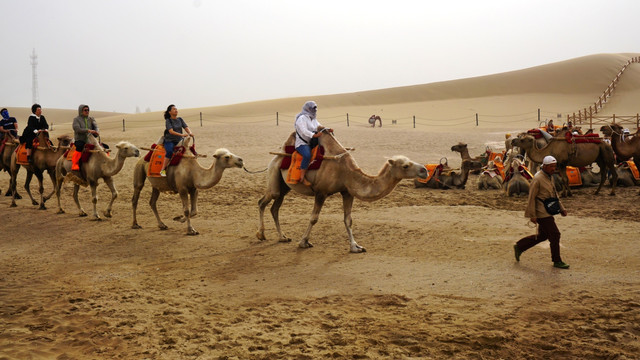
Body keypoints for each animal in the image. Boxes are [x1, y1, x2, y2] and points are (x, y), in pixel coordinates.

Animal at [255, 129, 424, 253]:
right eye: (405, 166)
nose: (424, 170)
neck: (346, 171)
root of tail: (276, 157)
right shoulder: (321, 192)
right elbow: (314, 218)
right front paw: (303, 242)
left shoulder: (347, 192)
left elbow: (348, 220)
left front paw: (355, 247)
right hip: (274, 175)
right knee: (263, 202)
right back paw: (261, 234)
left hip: (284, 187)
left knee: (274, 208)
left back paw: (282, 237)